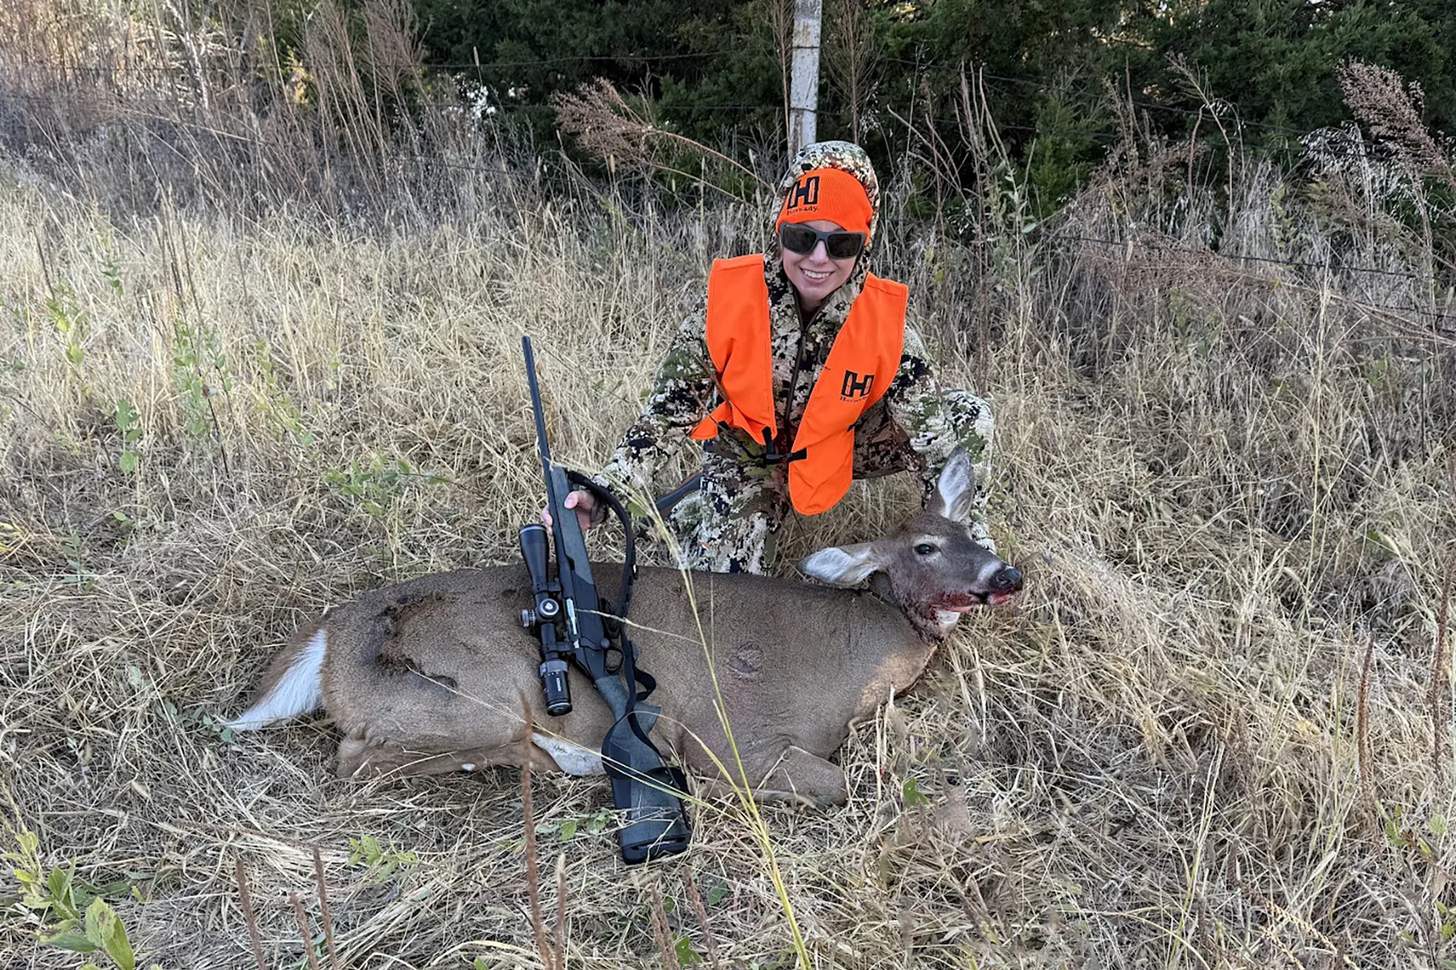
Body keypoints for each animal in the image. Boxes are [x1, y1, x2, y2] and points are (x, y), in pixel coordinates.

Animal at [226, 452, 1022, 807]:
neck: (858, 664)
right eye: (926, 547)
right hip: (480, 695)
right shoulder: (736, 738)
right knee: (356, 758)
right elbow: (841, 784)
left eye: (971, 534)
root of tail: (331, 631)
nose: (1005, 575)